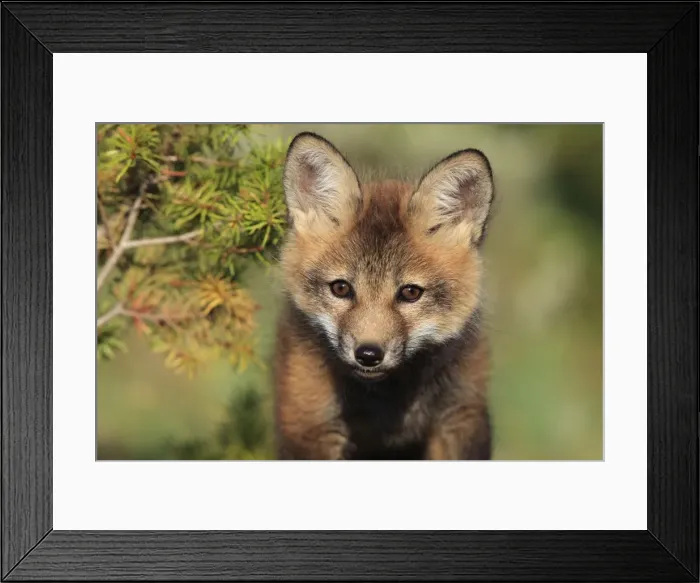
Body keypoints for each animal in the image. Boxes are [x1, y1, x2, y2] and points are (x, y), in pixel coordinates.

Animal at [273, 132, 495, 460]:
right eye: (341, 288)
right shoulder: (309, 425)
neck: (385, 405)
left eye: (410, 292)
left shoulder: (460, 416)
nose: (368, 355)